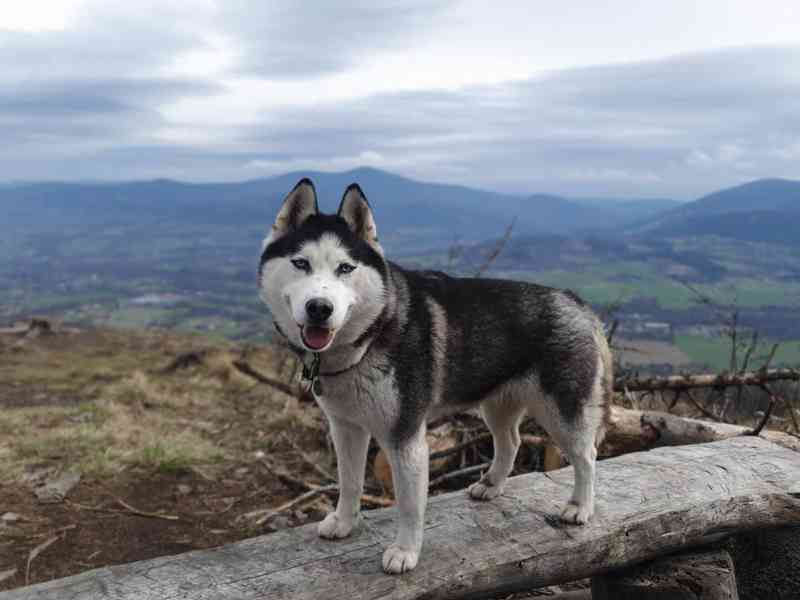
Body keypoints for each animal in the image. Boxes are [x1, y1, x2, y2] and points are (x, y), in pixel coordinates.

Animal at [258, 179, 612, 576]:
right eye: (300, 263)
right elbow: (349, 482)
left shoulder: (405, 437)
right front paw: (345, 522)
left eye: (345, 268)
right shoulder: (346, 427)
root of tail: (576, 301)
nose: (320, 308)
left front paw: (405, 552)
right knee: (511, 442)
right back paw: (491, 485)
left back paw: (580, 507)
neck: (371, 336)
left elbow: (410, 505)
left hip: (563, 413)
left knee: (587, 455)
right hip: (497, 406)